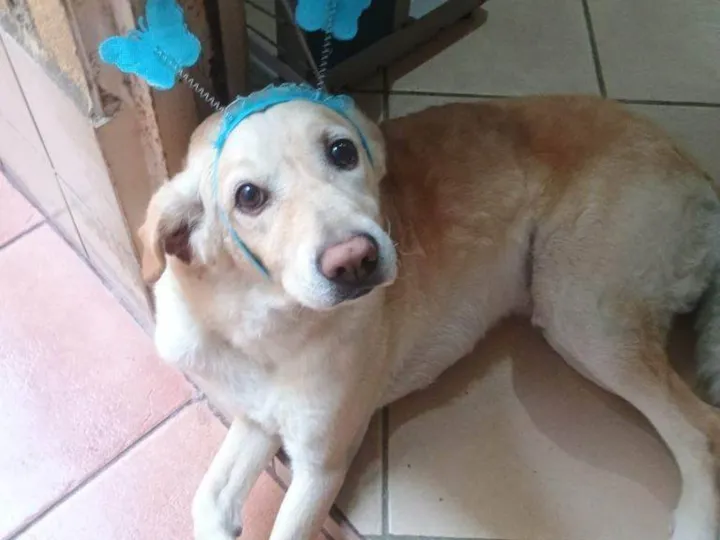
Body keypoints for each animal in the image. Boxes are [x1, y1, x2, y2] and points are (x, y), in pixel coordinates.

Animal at [139, 95, 720, 540]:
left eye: (342, 150)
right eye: (248, 196)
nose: (355, 261)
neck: (260, 327)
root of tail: (696, 168)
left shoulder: (322, 464)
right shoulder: (257, 418)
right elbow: (208, 500)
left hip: (581, 317)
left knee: (701, 427)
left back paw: (696, 519)